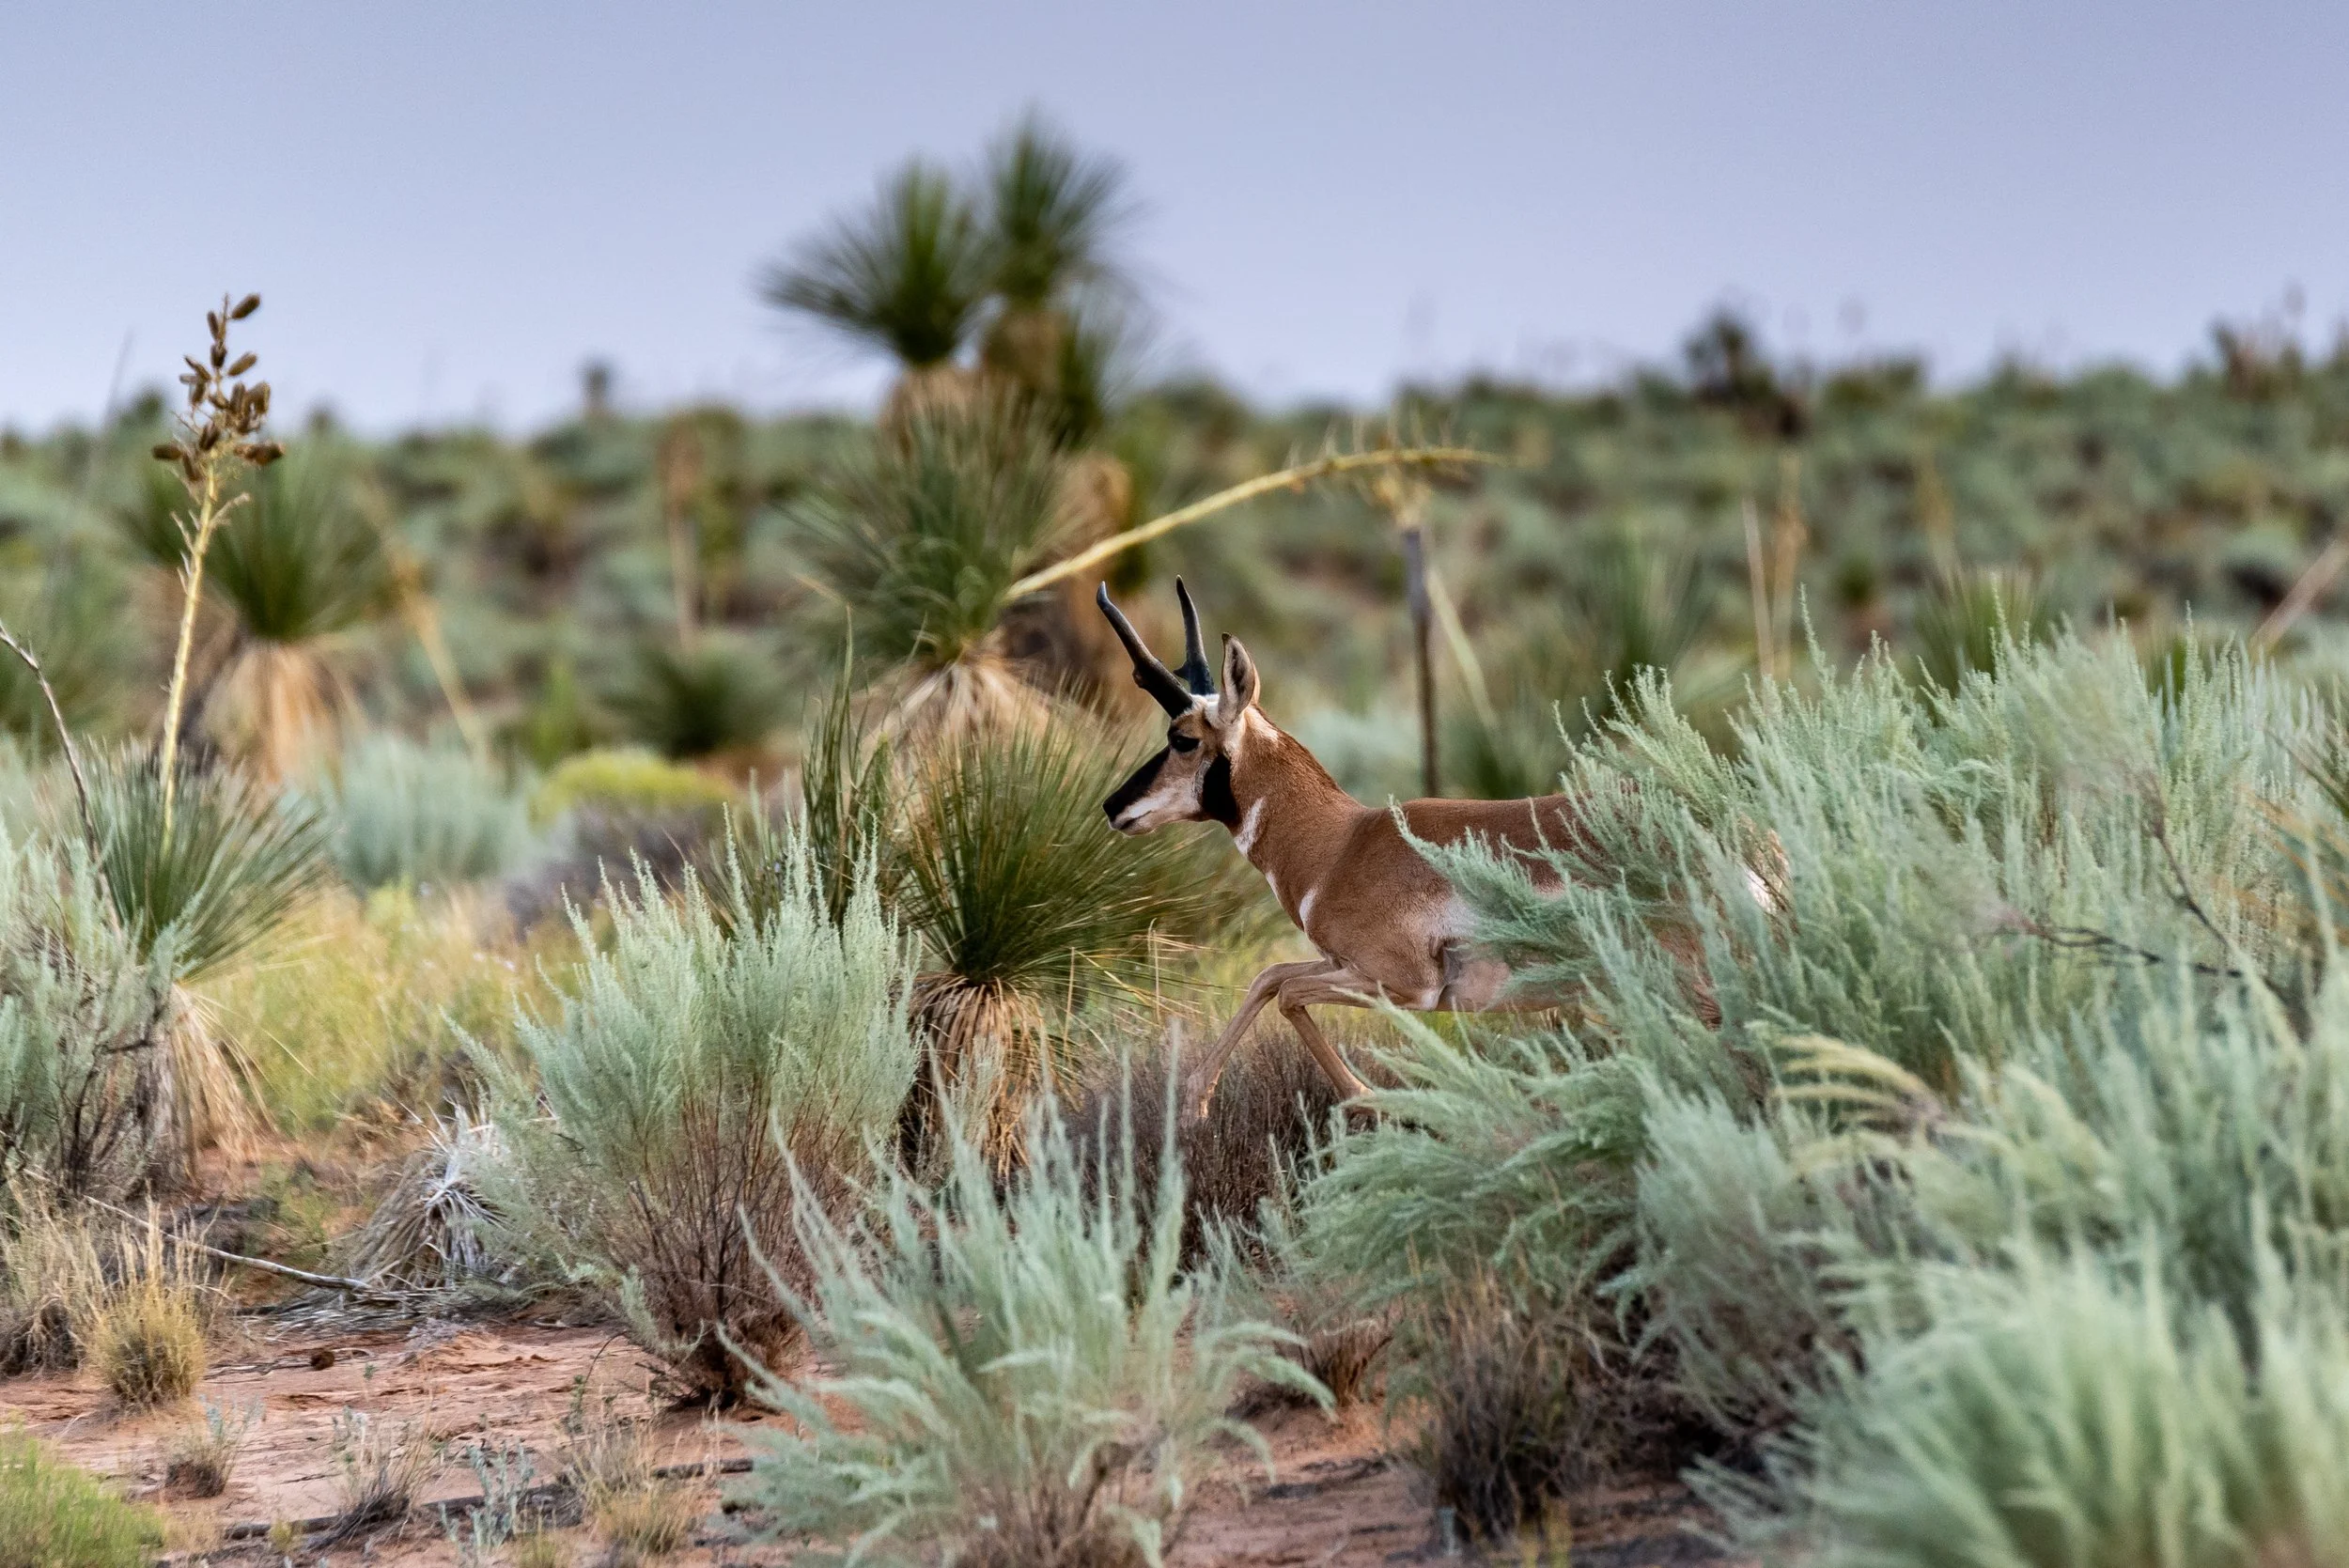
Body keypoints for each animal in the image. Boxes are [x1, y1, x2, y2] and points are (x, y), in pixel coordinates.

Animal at [1096, 582, 1583, 1121]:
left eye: (1182, 739)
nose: (1112, 806)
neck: (1343, 842)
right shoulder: (1339, 963)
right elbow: (1270, 976)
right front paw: (1195, 1101)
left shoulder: (1404, 985)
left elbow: (1287, 992)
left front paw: (1370, 1098)